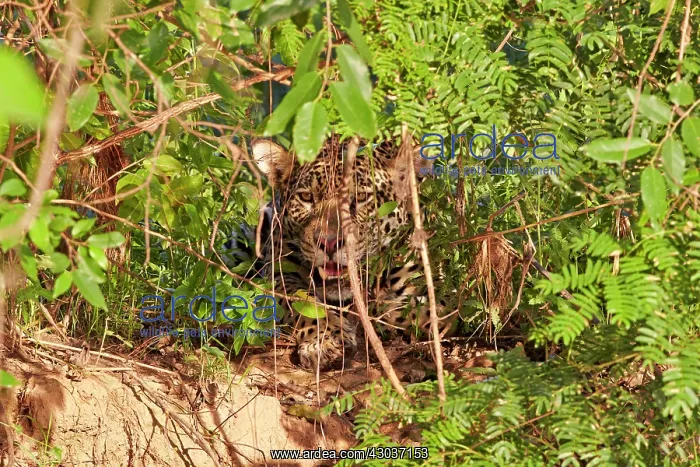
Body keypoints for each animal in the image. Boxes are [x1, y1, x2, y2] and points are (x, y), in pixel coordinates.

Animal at [223, 134, 452, 371]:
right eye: (307, 197)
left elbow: (409, 311)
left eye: (361, 197)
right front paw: (325, 341)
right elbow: (304, 303)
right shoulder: (279, 274)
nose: (330, 243)